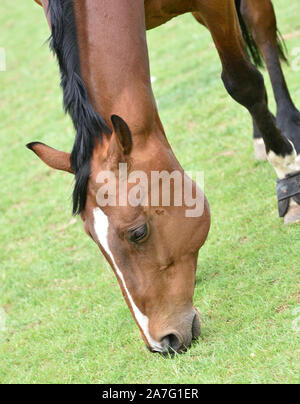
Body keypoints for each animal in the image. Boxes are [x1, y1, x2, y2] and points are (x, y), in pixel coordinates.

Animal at [28, 0, 300, 354]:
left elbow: (242, 82)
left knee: (260, 29)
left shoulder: (215, 6)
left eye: (138, 233)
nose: (161, 343)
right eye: (94, 241)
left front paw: (287, 172)